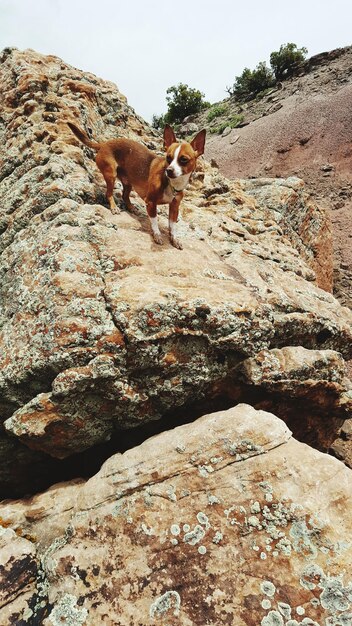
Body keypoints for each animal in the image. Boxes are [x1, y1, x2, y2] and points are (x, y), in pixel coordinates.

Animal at [67, 122, 205, 249]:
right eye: (168, 158)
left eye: (184, 159)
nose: (169, 170)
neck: (171, 183)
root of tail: (103, 144)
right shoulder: (150, 202)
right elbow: (154, 221)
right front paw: (157, 235)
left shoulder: (175, 207)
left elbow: (172, 225)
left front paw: (174, 239)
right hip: (111, 175)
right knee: (109, 193)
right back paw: (114, 207)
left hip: (128, 182)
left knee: (124, 196)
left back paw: (131, 207)